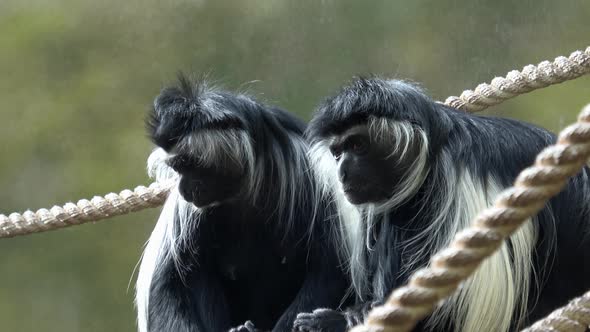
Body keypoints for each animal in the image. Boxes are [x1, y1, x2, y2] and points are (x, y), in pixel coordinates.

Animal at [137, 75, 352, 332]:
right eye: (176, 168)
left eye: (187, 164)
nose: (183, 189)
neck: (245, 189)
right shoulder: (188, 211)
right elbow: (169, 283)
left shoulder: (311, 178)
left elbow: (329, 269)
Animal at [296, 76, 590, 330]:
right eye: (337, 152)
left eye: (357, 146)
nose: (342, 173)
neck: (432, 155)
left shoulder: (456, 190)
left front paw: (335, 320)